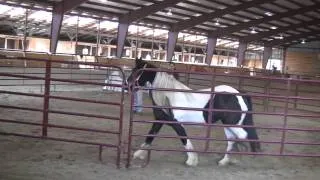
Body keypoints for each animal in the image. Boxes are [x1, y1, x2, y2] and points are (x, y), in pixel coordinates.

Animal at [126, 58, 262, 167]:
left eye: (135, 72)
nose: (127, 86)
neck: (169, 96)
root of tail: (240, 94)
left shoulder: (177, 124)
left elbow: (185, 140)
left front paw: (191, 160)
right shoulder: (159, 121)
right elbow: (150, 137)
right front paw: (138, 154)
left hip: (232, 124)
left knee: (242, 136)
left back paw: (238, 157)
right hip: (229, 125)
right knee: (233, 140)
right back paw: (224, 161)